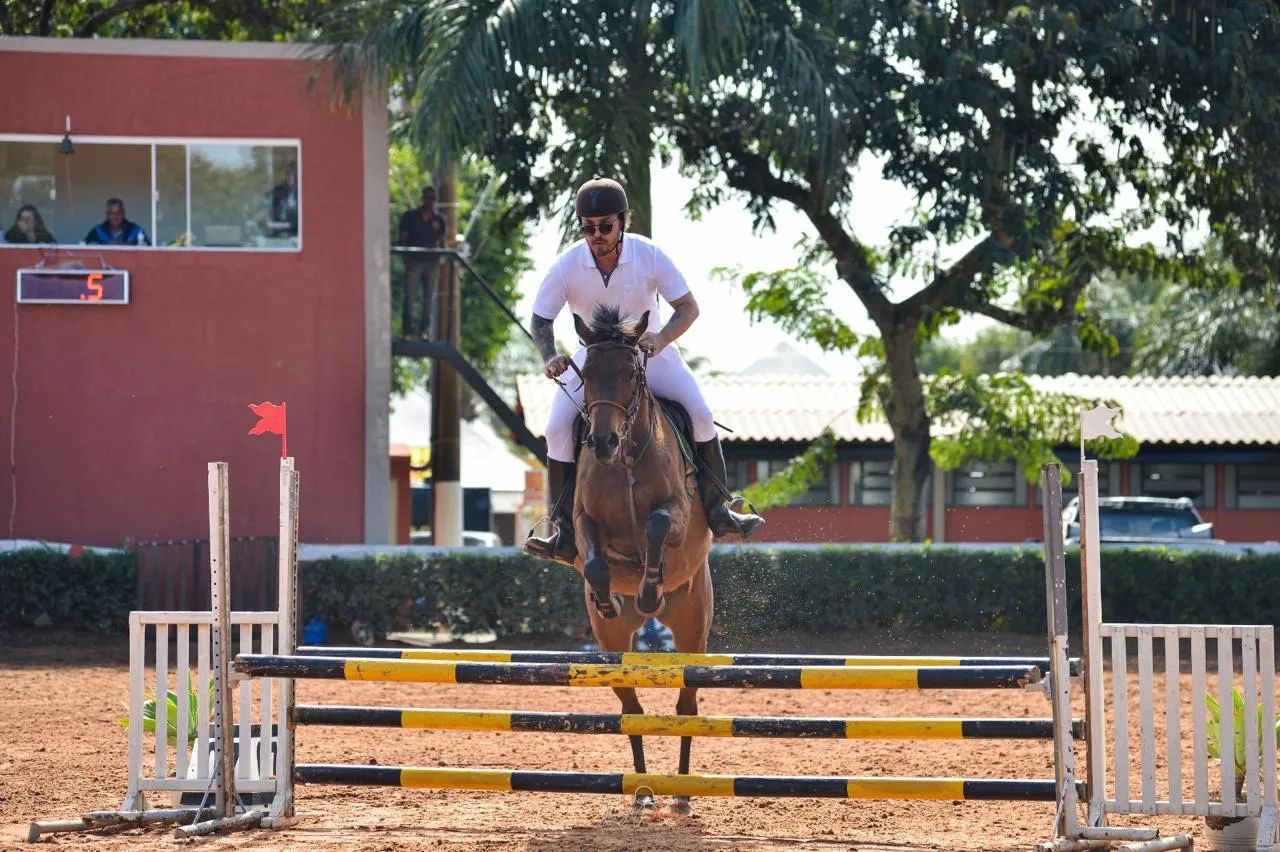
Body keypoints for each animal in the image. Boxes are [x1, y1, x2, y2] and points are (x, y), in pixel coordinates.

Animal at [570, 304, 714, 815]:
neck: (628, 459)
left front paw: (650, 589)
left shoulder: (677, 512)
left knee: (686, 708)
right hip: (613, 645)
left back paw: (683, 794)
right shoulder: (582, 520)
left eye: (632, 374)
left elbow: (654, 526)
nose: (602, 443)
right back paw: (645, 792)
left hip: (693, 630)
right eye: (586, 374)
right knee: (631, 712)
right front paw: (606, 594)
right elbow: (594, 559)